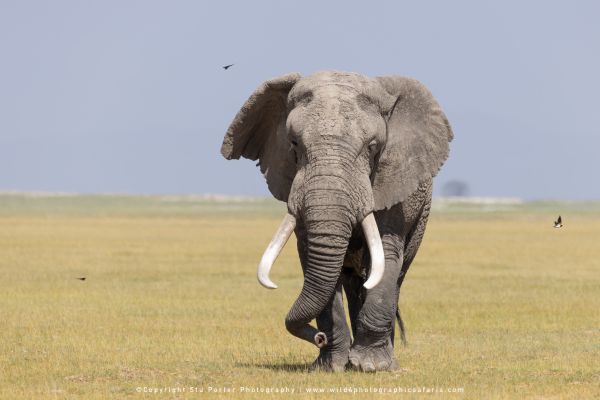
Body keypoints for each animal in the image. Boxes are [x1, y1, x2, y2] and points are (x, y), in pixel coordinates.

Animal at [223, 69, 452, 372]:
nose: (317, 337)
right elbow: (312, 257)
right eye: (294, 144)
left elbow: (386, 254)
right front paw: (329, 367)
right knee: (355, 283)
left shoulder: (393, 188)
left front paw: (372, 367)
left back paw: (383, 360)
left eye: (372, 147)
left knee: (391, 278)